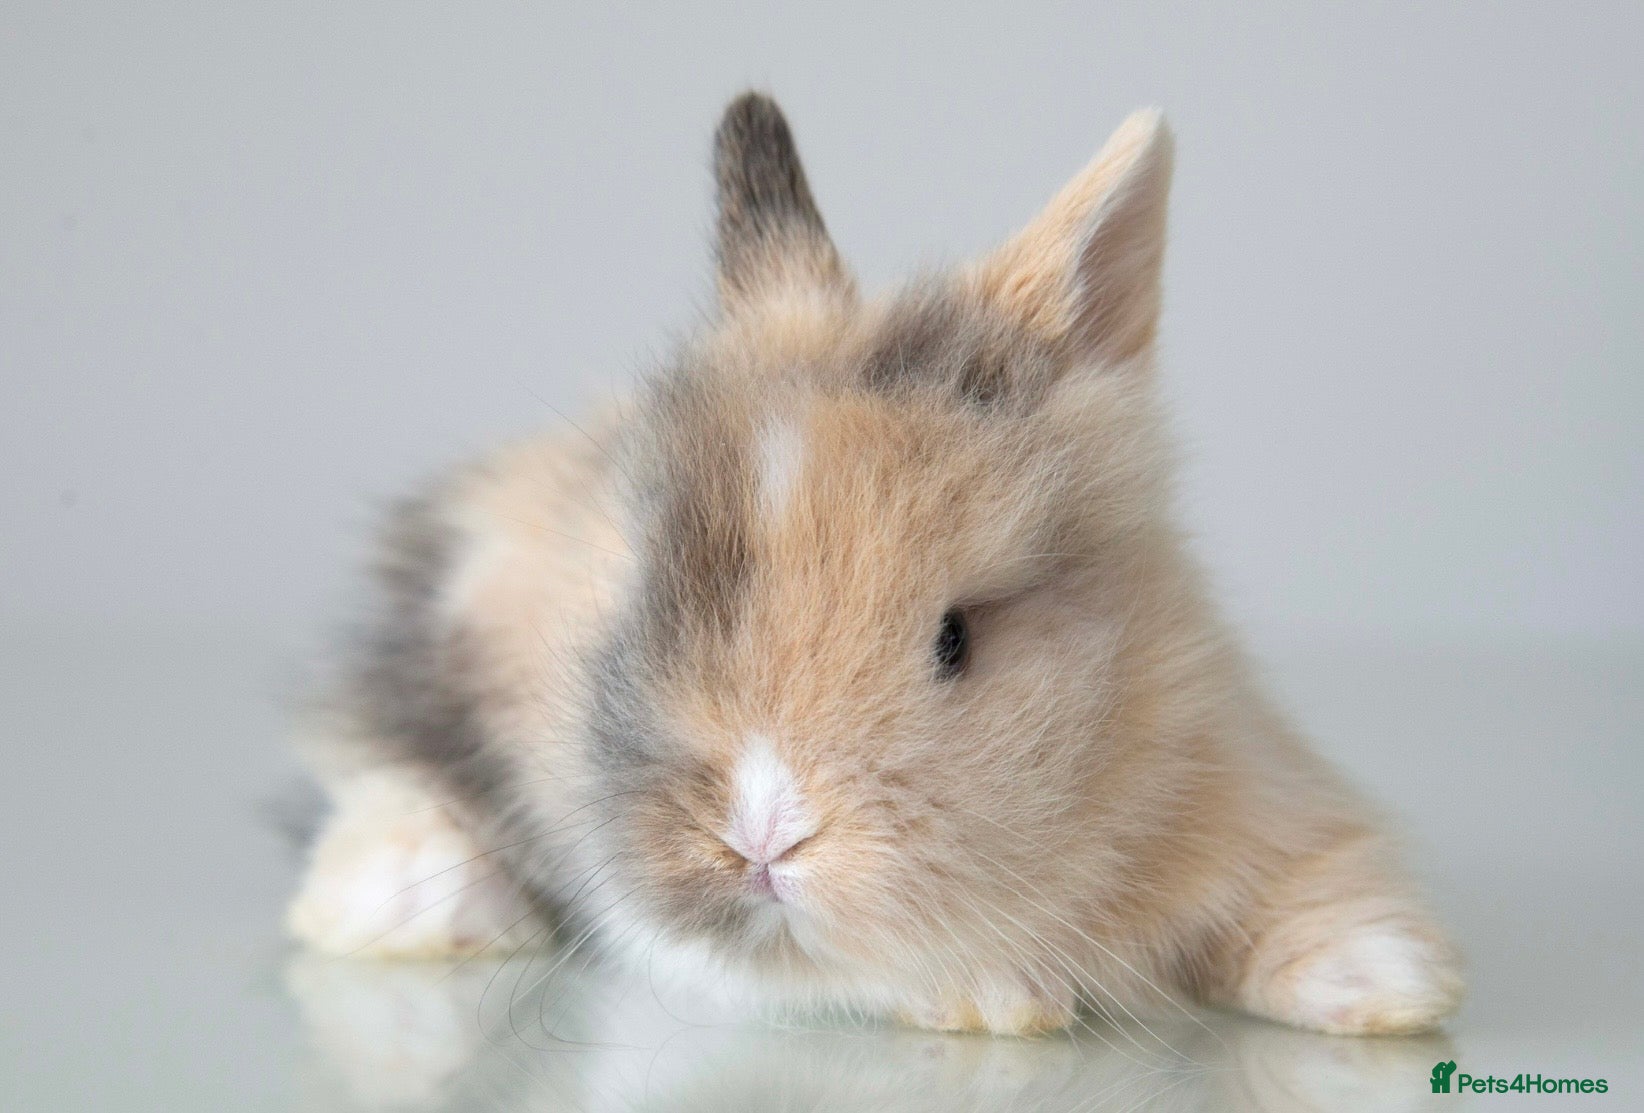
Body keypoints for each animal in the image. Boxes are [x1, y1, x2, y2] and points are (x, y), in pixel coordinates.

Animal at [286, 92, 1464, 1038]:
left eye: (956, 638)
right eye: (647, 596)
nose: (762, 836)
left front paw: (1391, 982)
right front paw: (998, 994)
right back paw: (404, 901)